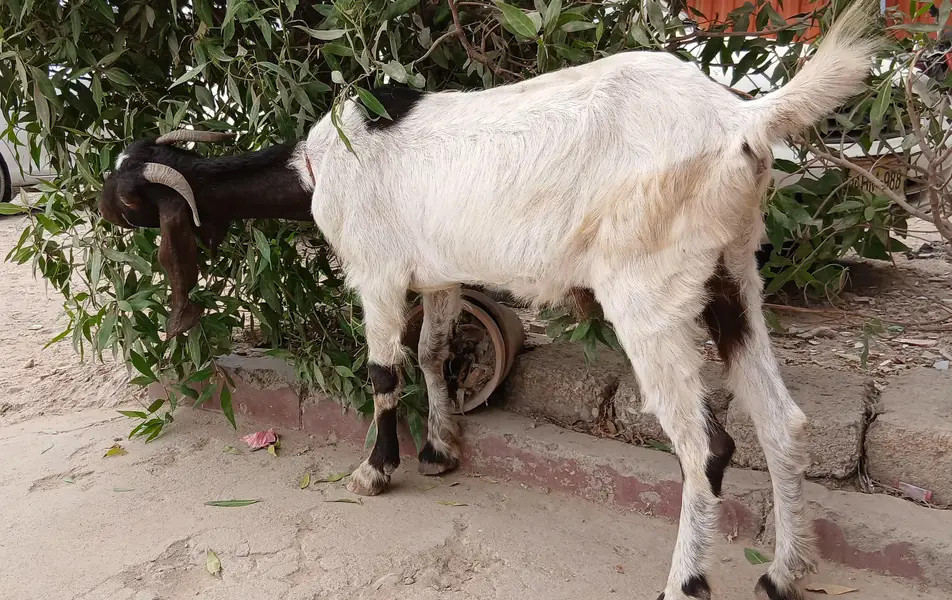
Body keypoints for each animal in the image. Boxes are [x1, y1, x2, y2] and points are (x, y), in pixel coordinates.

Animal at [100, 1, 881, 597]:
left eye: (129, 196)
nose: (98, 213)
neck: (320, 166)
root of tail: (739, 121)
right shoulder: (441, 275)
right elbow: (434, 353)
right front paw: (441, 450)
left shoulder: (377, 273)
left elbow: (384, 370)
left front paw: (375, 470)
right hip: (731, 274)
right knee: (783, 422)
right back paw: (782, 572)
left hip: (651, 290)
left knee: (707, 447)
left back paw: (684, 582)